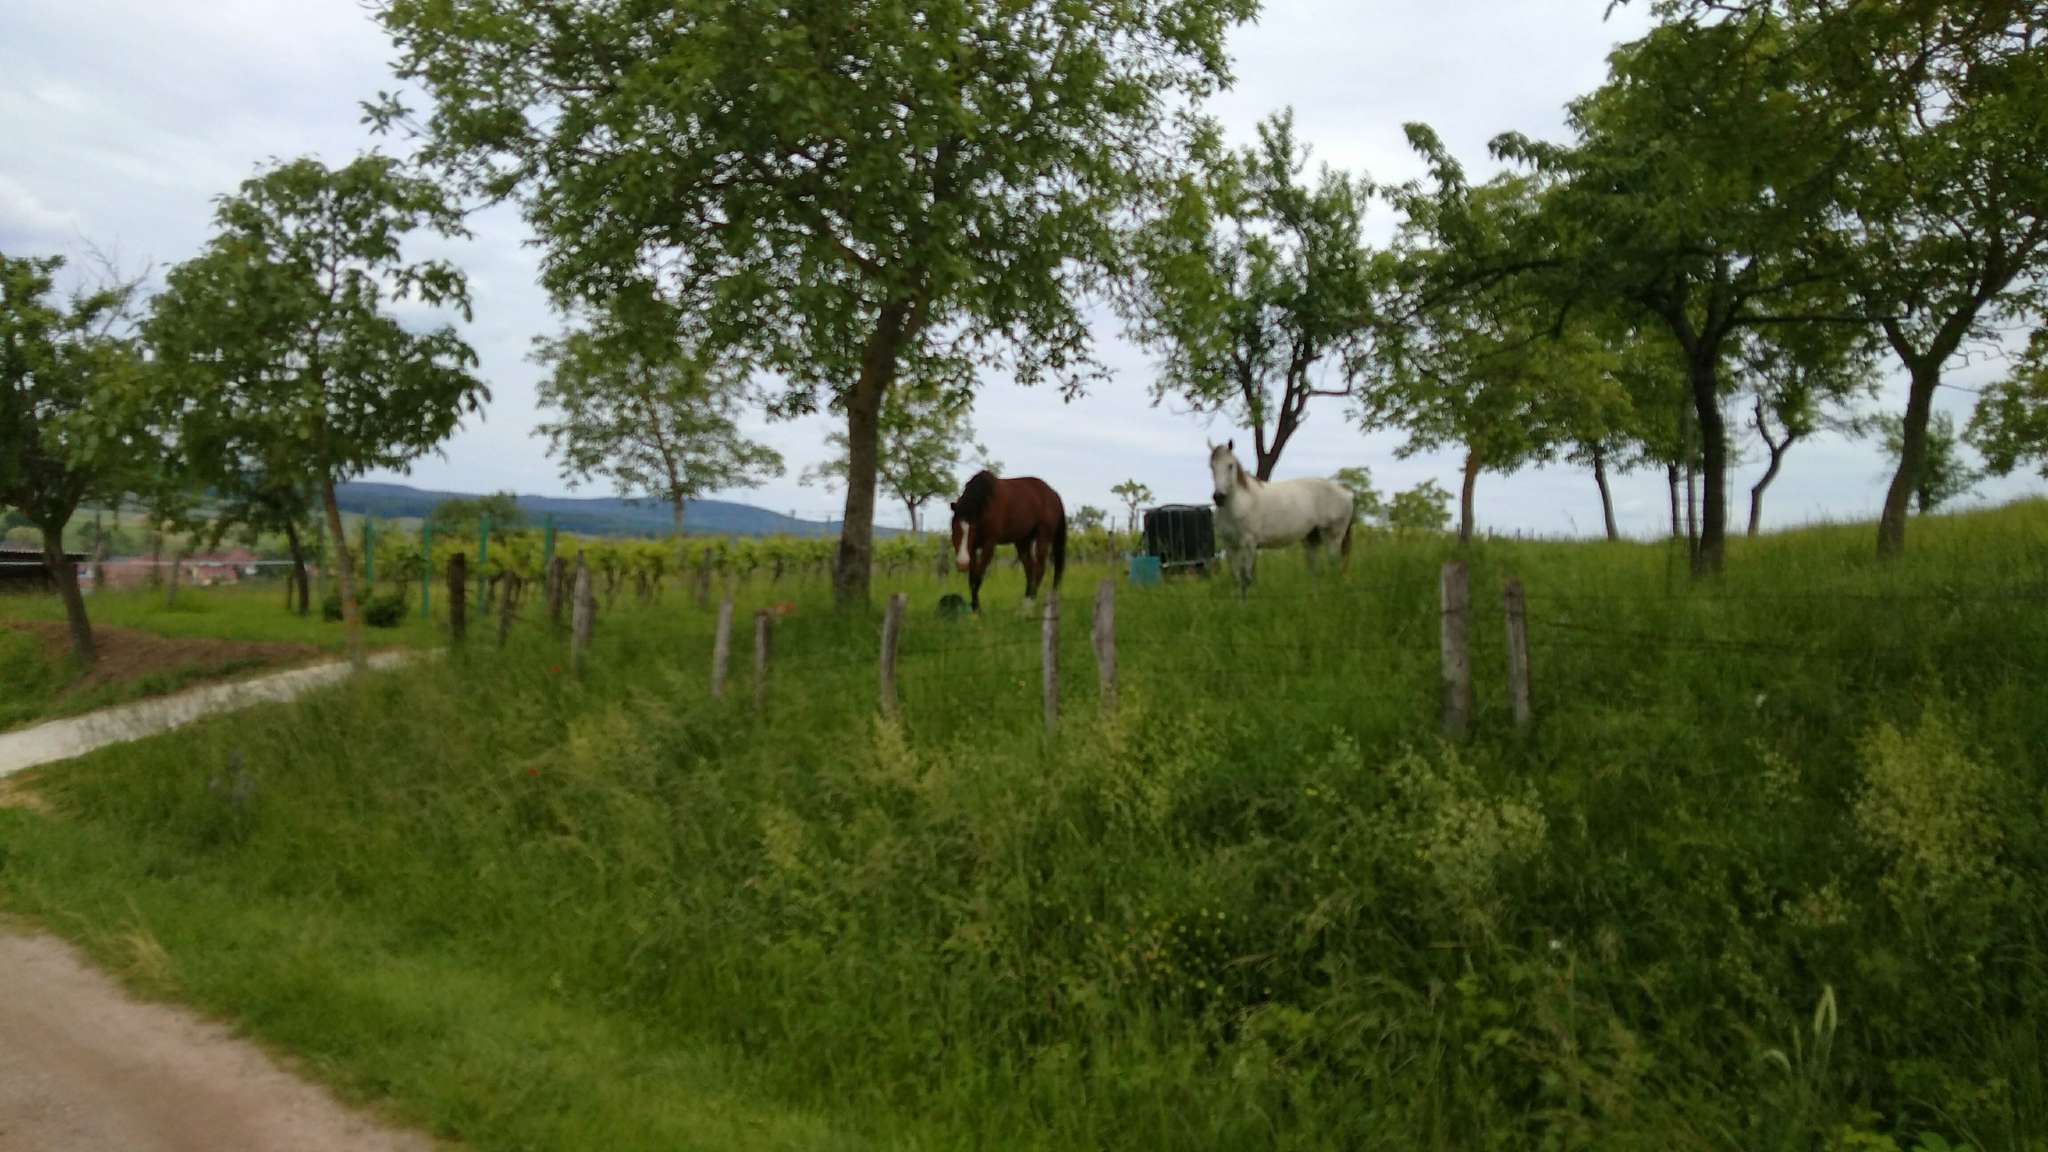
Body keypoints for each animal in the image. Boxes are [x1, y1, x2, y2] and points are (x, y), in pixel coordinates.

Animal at [948, 471, 1067, 613]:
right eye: (954, 528)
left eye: (974, 528)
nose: (961, 563)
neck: (986, 504)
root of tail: (1053, 494)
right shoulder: (972, 548)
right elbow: (972, 578)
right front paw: (974, 608)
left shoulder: (989, 545)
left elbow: (978, 576)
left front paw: (977, 610)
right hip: (1023, 540)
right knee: (1030, 568)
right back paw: (1025, 604)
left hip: (1043, 535)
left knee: (1039, 568)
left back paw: (1031, 603)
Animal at [1208, 441, 1355, 596]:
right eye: (1212, 466)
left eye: (1230, 465)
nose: (1218, 497)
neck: (1241, 503)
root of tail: (1347, 493)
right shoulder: (1230, 545)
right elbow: (1236, 579)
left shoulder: (1248, 544)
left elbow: (1246, 579)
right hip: (1311, 540)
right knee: (1314, 571)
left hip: (1333, 537)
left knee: (1334, 565)